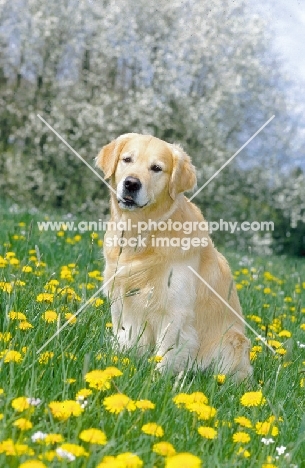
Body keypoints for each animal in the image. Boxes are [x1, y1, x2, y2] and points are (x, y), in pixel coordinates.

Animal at [95, 133, 252, 382]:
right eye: (127, 159)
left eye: (157, 168)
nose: (131, 183)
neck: (143, 233)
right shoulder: (123, 301)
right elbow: (127, 340)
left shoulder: (174, 313)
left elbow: (165, 356)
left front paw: (154, 382)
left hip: (232, 342)